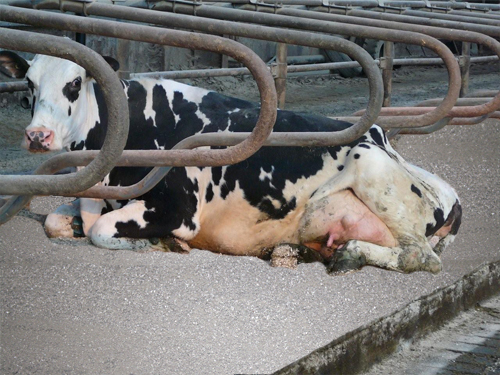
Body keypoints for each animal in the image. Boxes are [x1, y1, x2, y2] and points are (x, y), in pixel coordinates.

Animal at [0, 50, 462, 274]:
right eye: (29, 84)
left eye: (75, 83)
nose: (38, 136)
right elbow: (55, 221)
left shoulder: (178, 209)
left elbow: (98, 231)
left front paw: (158, 243)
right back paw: (294, 252)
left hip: (373, 168)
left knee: (423, 258)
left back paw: (347, 257)